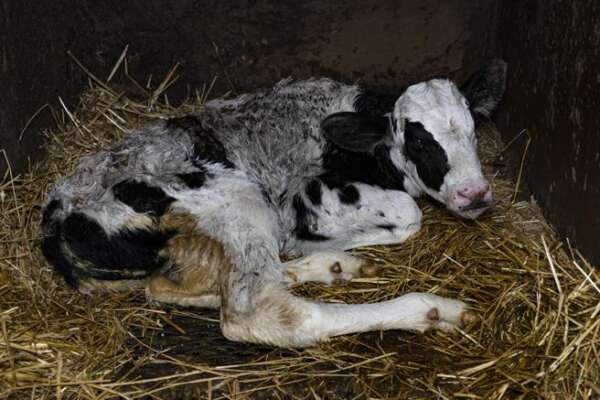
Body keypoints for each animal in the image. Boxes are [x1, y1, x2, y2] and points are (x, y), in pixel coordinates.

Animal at [42, 59, 508, 346]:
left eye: (473, 130)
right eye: (418, 141)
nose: (475, 194)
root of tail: (57, 220)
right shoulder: (308, 196)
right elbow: (408, 214)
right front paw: (319, 239)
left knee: (178, 288)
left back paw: (331, 266)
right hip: (235, 196)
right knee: (260, 311)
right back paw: (428, 310)